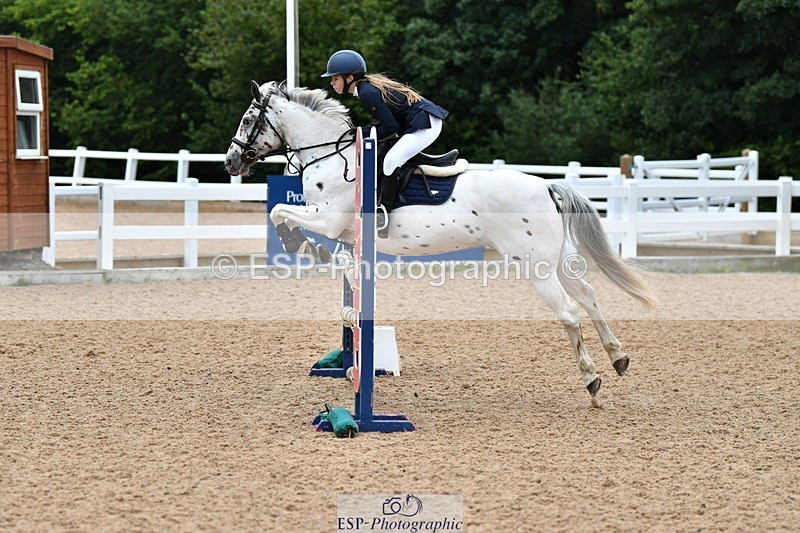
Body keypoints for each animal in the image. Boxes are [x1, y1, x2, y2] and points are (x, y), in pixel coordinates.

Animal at [225, 80, 657, 401]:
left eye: (248, 120)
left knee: (569, 311)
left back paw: (591, 379)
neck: (332, 157)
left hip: (535, 267)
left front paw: (295, 242)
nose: (230, 162)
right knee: (588, 296)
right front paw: (318, 252)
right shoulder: (343, 230)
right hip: (556, 261)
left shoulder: (328, 219)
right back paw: (617, 357)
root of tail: (547, 186)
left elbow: (280, 213)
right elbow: (334, 254)